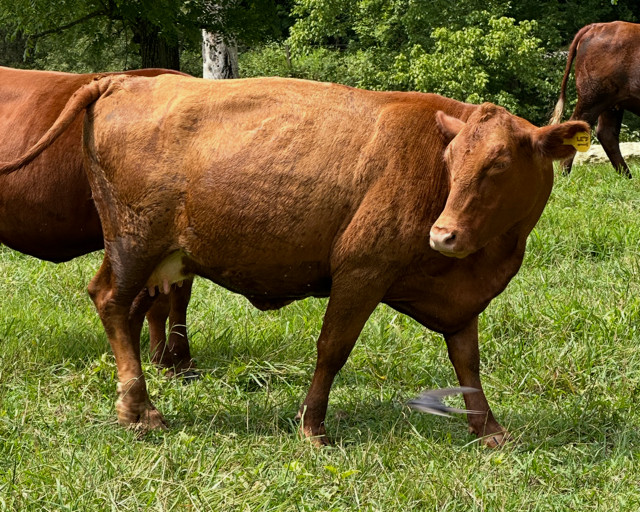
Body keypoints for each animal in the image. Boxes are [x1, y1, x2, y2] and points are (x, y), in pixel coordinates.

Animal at [551, 21, 640, 177]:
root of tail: (596, 26)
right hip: (593, 99)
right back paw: (564, 174)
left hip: (611, 104)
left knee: (607, 133)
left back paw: (627, 176)